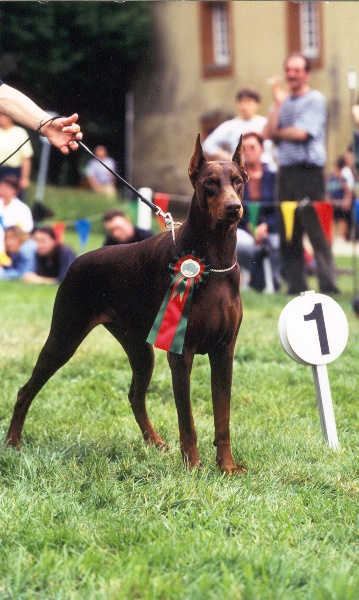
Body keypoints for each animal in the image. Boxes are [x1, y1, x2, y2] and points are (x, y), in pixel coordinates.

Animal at [5, 135, 249, 474]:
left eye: (238, 181)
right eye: (210, 183)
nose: (233, 207)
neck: (214, 262)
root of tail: (78, 260)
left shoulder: (224, 352)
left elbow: (223, 418)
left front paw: (227, 467)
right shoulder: (181, 352)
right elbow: (186, 420)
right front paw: (192, 467)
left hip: (140, 348)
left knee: (135, 394)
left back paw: (155, 442)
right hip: (65, 336)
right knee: (25, 390)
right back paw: (13, 441)